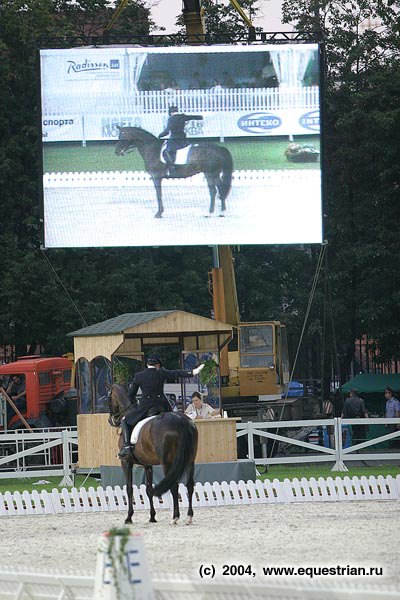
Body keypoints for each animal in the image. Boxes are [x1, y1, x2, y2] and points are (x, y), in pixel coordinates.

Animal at [108, 386, 198, 524]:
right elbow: (149, 489)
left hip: (167, 463)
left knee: (174, 486)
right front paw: (152, 517)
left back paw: (175, 517)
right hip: (190, 461)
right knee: (189, 486)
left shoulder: (126, 463)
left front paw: (129, 517)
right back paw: (189, 516)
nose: (110, 420)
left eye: (108, 398)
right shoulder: (147, 464)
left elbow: (129, 489)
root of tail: (180, 420)